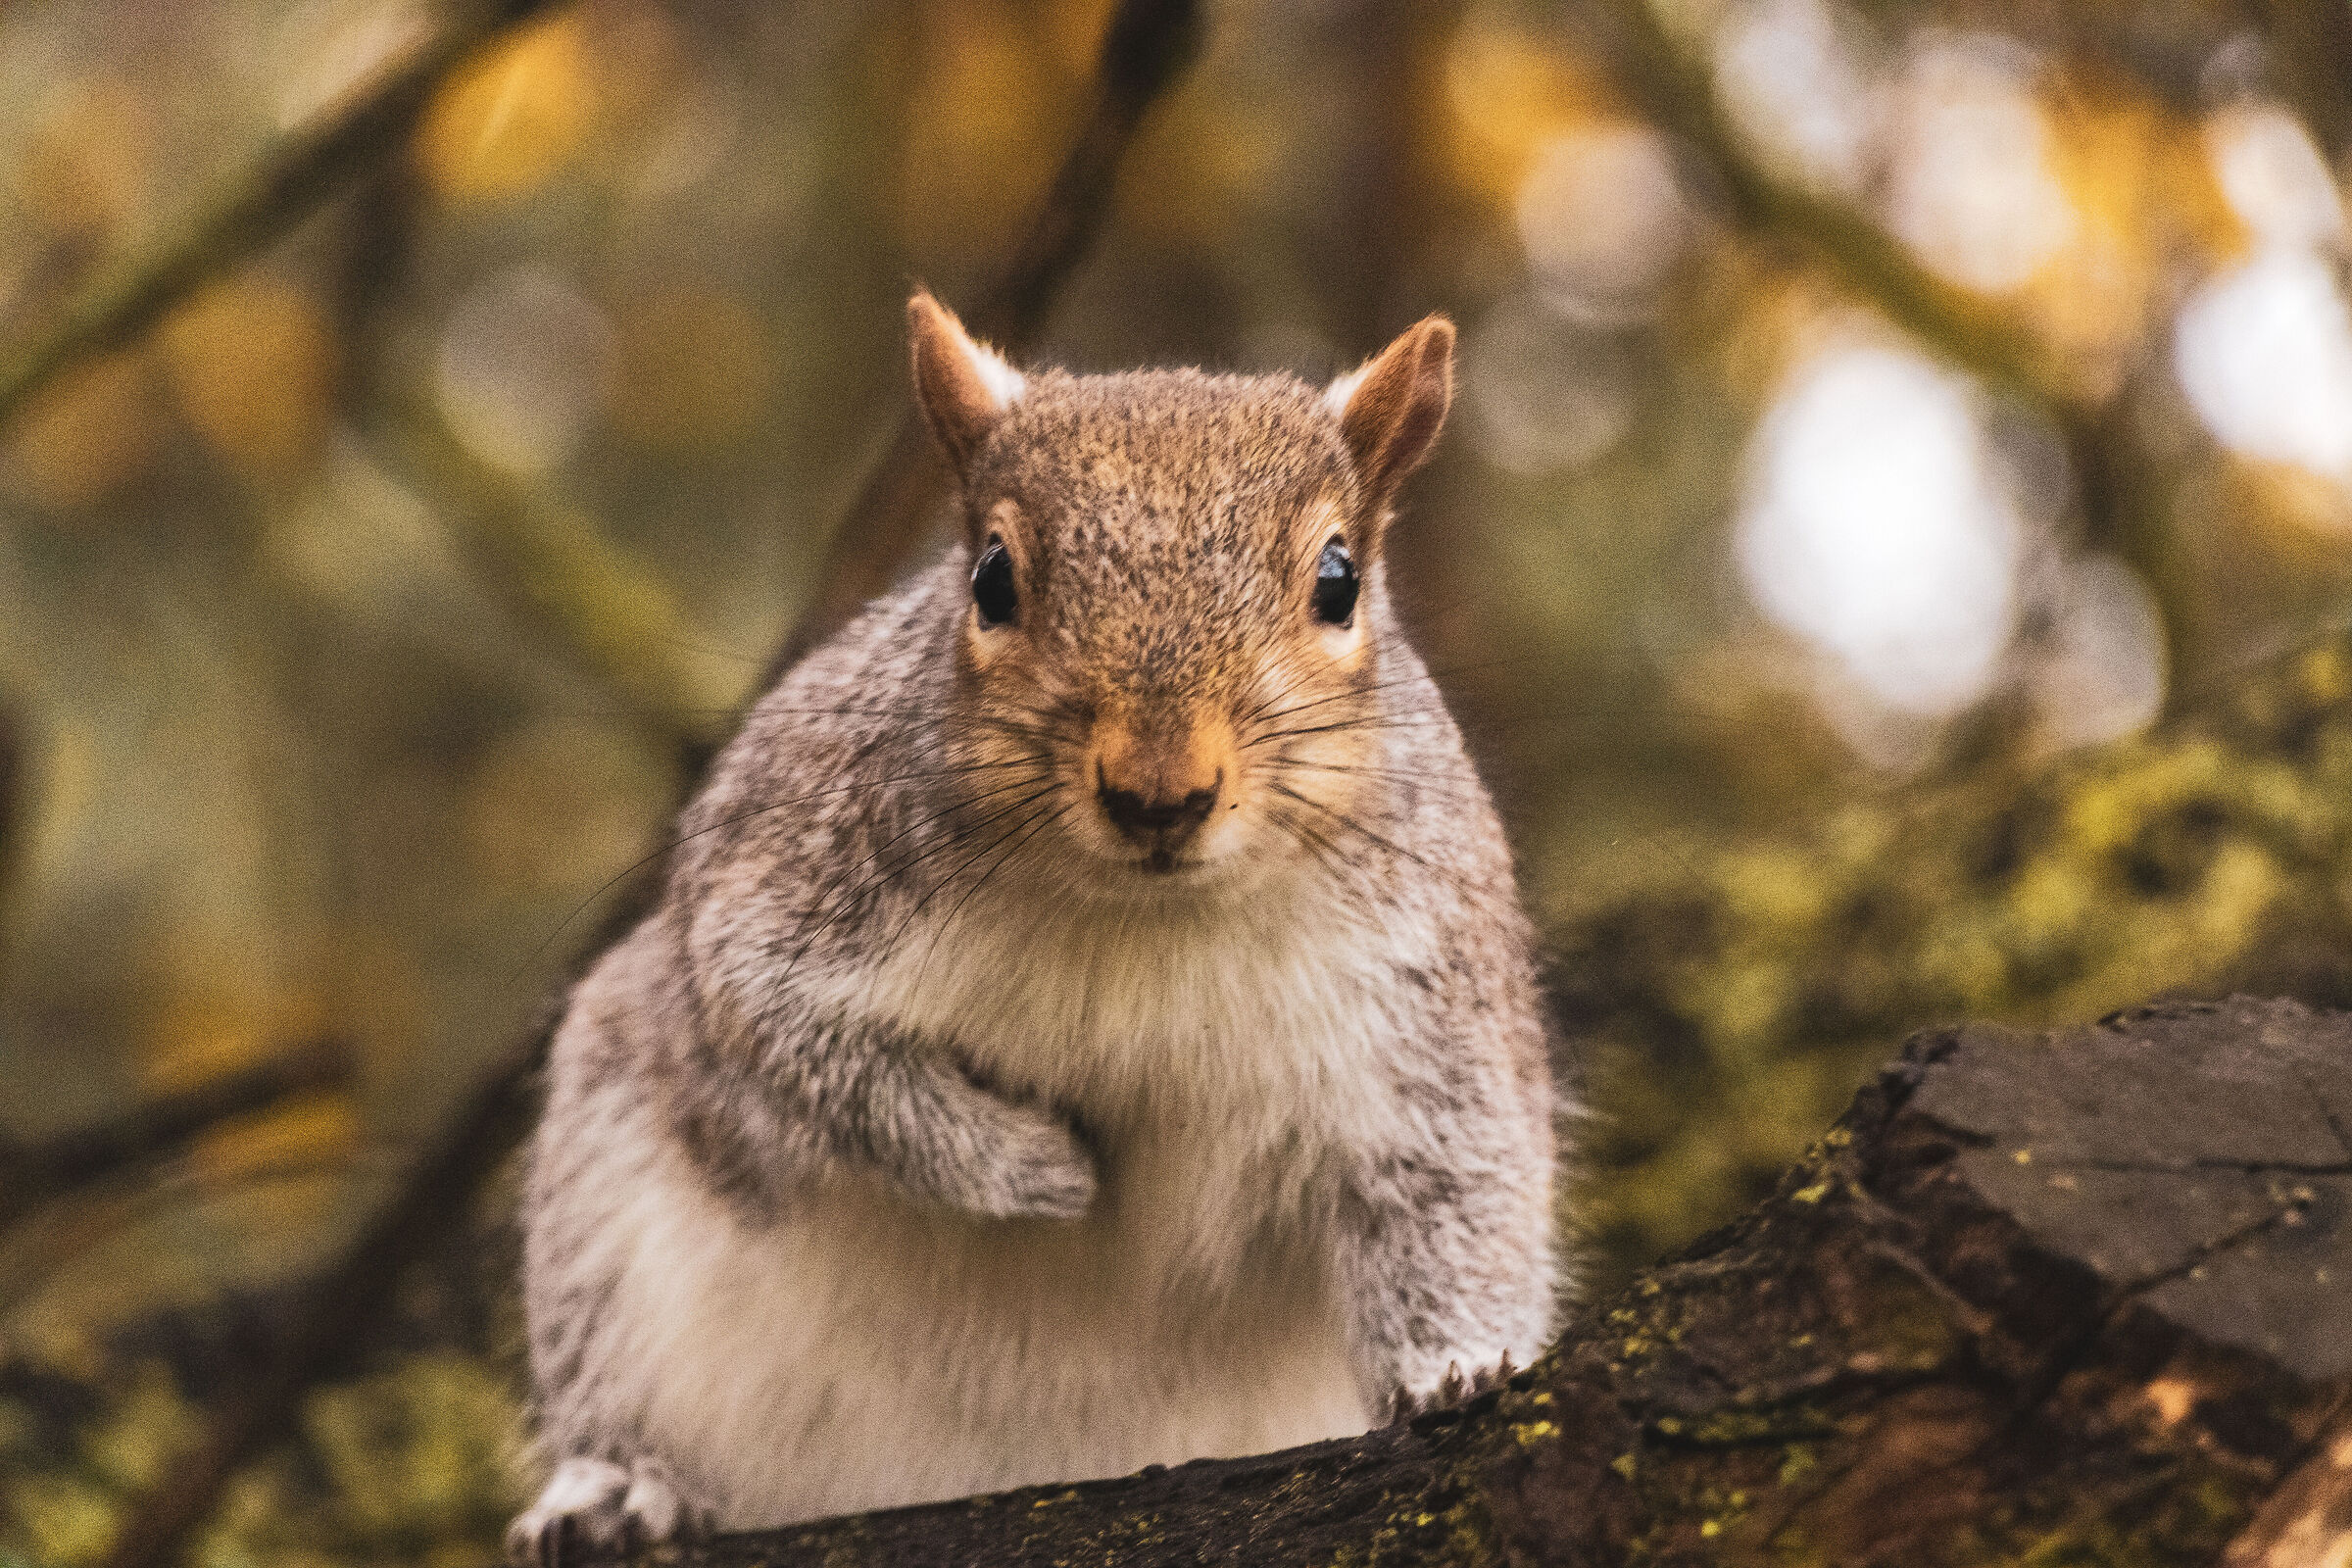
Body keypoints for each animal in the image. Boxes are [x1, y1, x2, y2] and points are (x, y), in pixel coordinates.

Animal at [505, 292, 1564, 1561]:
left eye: (1339, 580)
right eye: (992, 578)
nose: (1159, 791)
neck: (1144, 920)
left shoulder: (1432, 995)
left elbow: (1457, 1176)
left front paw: (1461, 1362)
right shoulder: (773, 893)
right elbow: (813, 1057)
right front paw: (1036, 1166)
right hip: (606, 1202)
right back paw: (615, 1489)